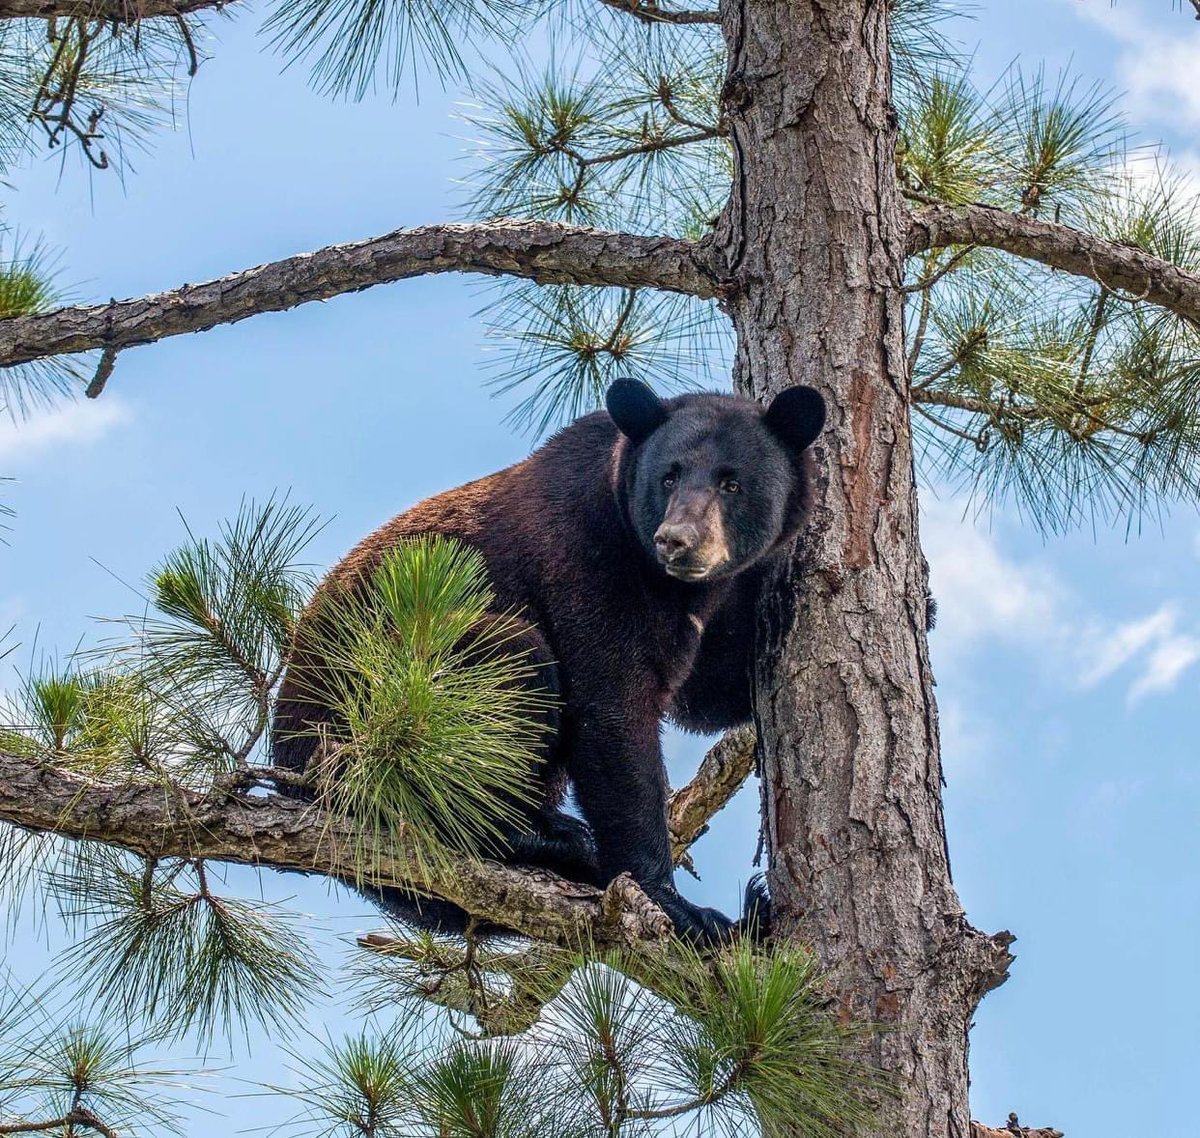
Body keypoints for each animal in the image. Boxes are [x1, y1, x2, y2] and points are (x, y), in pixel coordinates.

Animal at [271, 378, 826, 943]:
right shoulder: (585, 565)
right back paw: (546, 836)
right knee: (510, 668)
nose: (677, 541)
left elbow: (710, 694)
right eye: (668, 476)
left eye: (731, 483)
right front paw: (680, 907)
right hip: (381, 694)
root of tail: (286, 760)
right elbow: (613, 716)